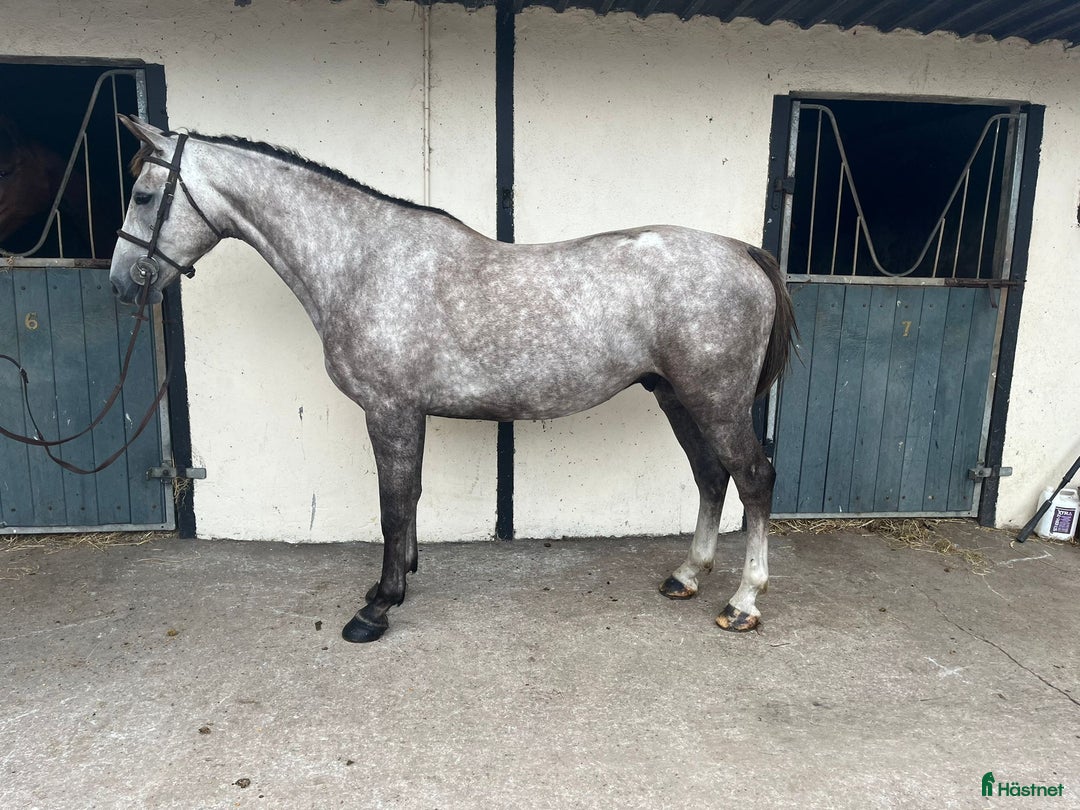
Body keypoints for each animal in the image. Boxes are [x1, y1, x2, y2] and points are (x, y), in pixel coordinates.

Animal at [109, 115, 796, 644]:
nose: (121, 284)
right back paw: (686, 576)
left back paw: (743, 603)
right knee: (710, 476)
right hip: (678, 396)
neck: (364, 261)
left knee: (753, 478)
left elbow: (392, 503)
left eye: (142, 196)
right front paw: (397, 581)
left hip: (716, 400)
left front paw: (377, 608)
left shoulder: (389, 409)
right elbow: (408, 499)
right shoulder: (403, 412)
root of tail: (742, 252)